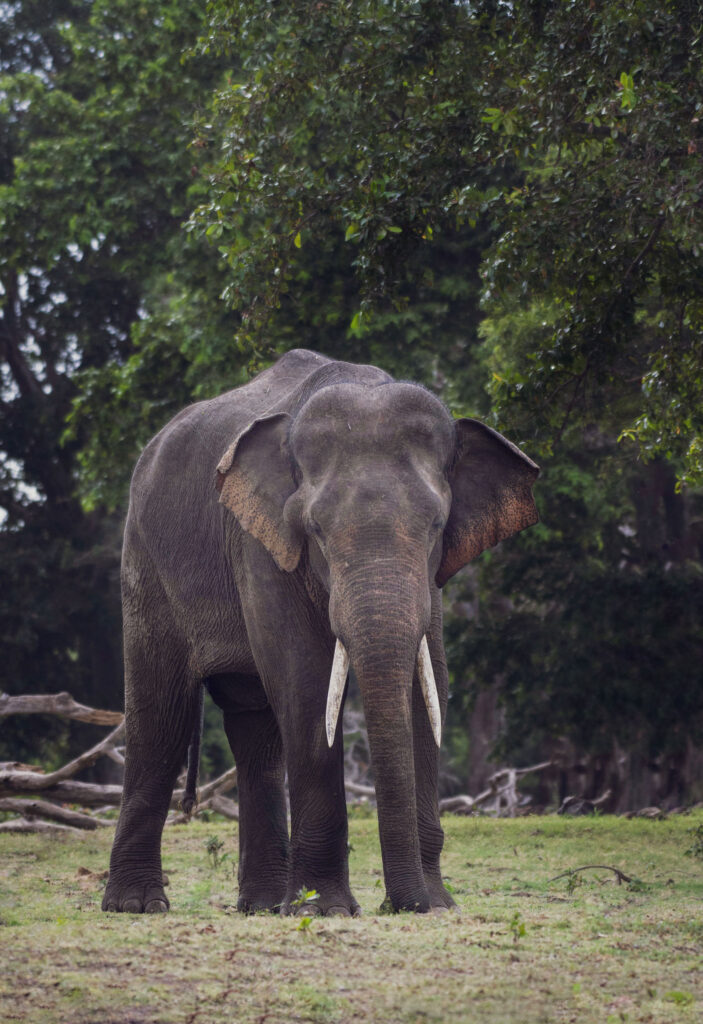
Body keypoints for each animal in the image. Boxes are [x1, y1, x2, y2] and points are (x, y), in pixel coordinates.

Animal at [101, 348, 540, 917]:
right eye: (315, 532)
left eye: (437, 529)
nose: (401, 905)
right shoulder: (258, 542)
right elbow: (305, 679)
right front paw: (325, 909)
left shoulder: (434, 581)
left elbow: (429, 683)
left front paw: (439, 905)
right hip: (145, 562)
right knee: (162, 717)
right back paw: (138, 905)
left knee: (254, 730)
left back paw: (263, 906)